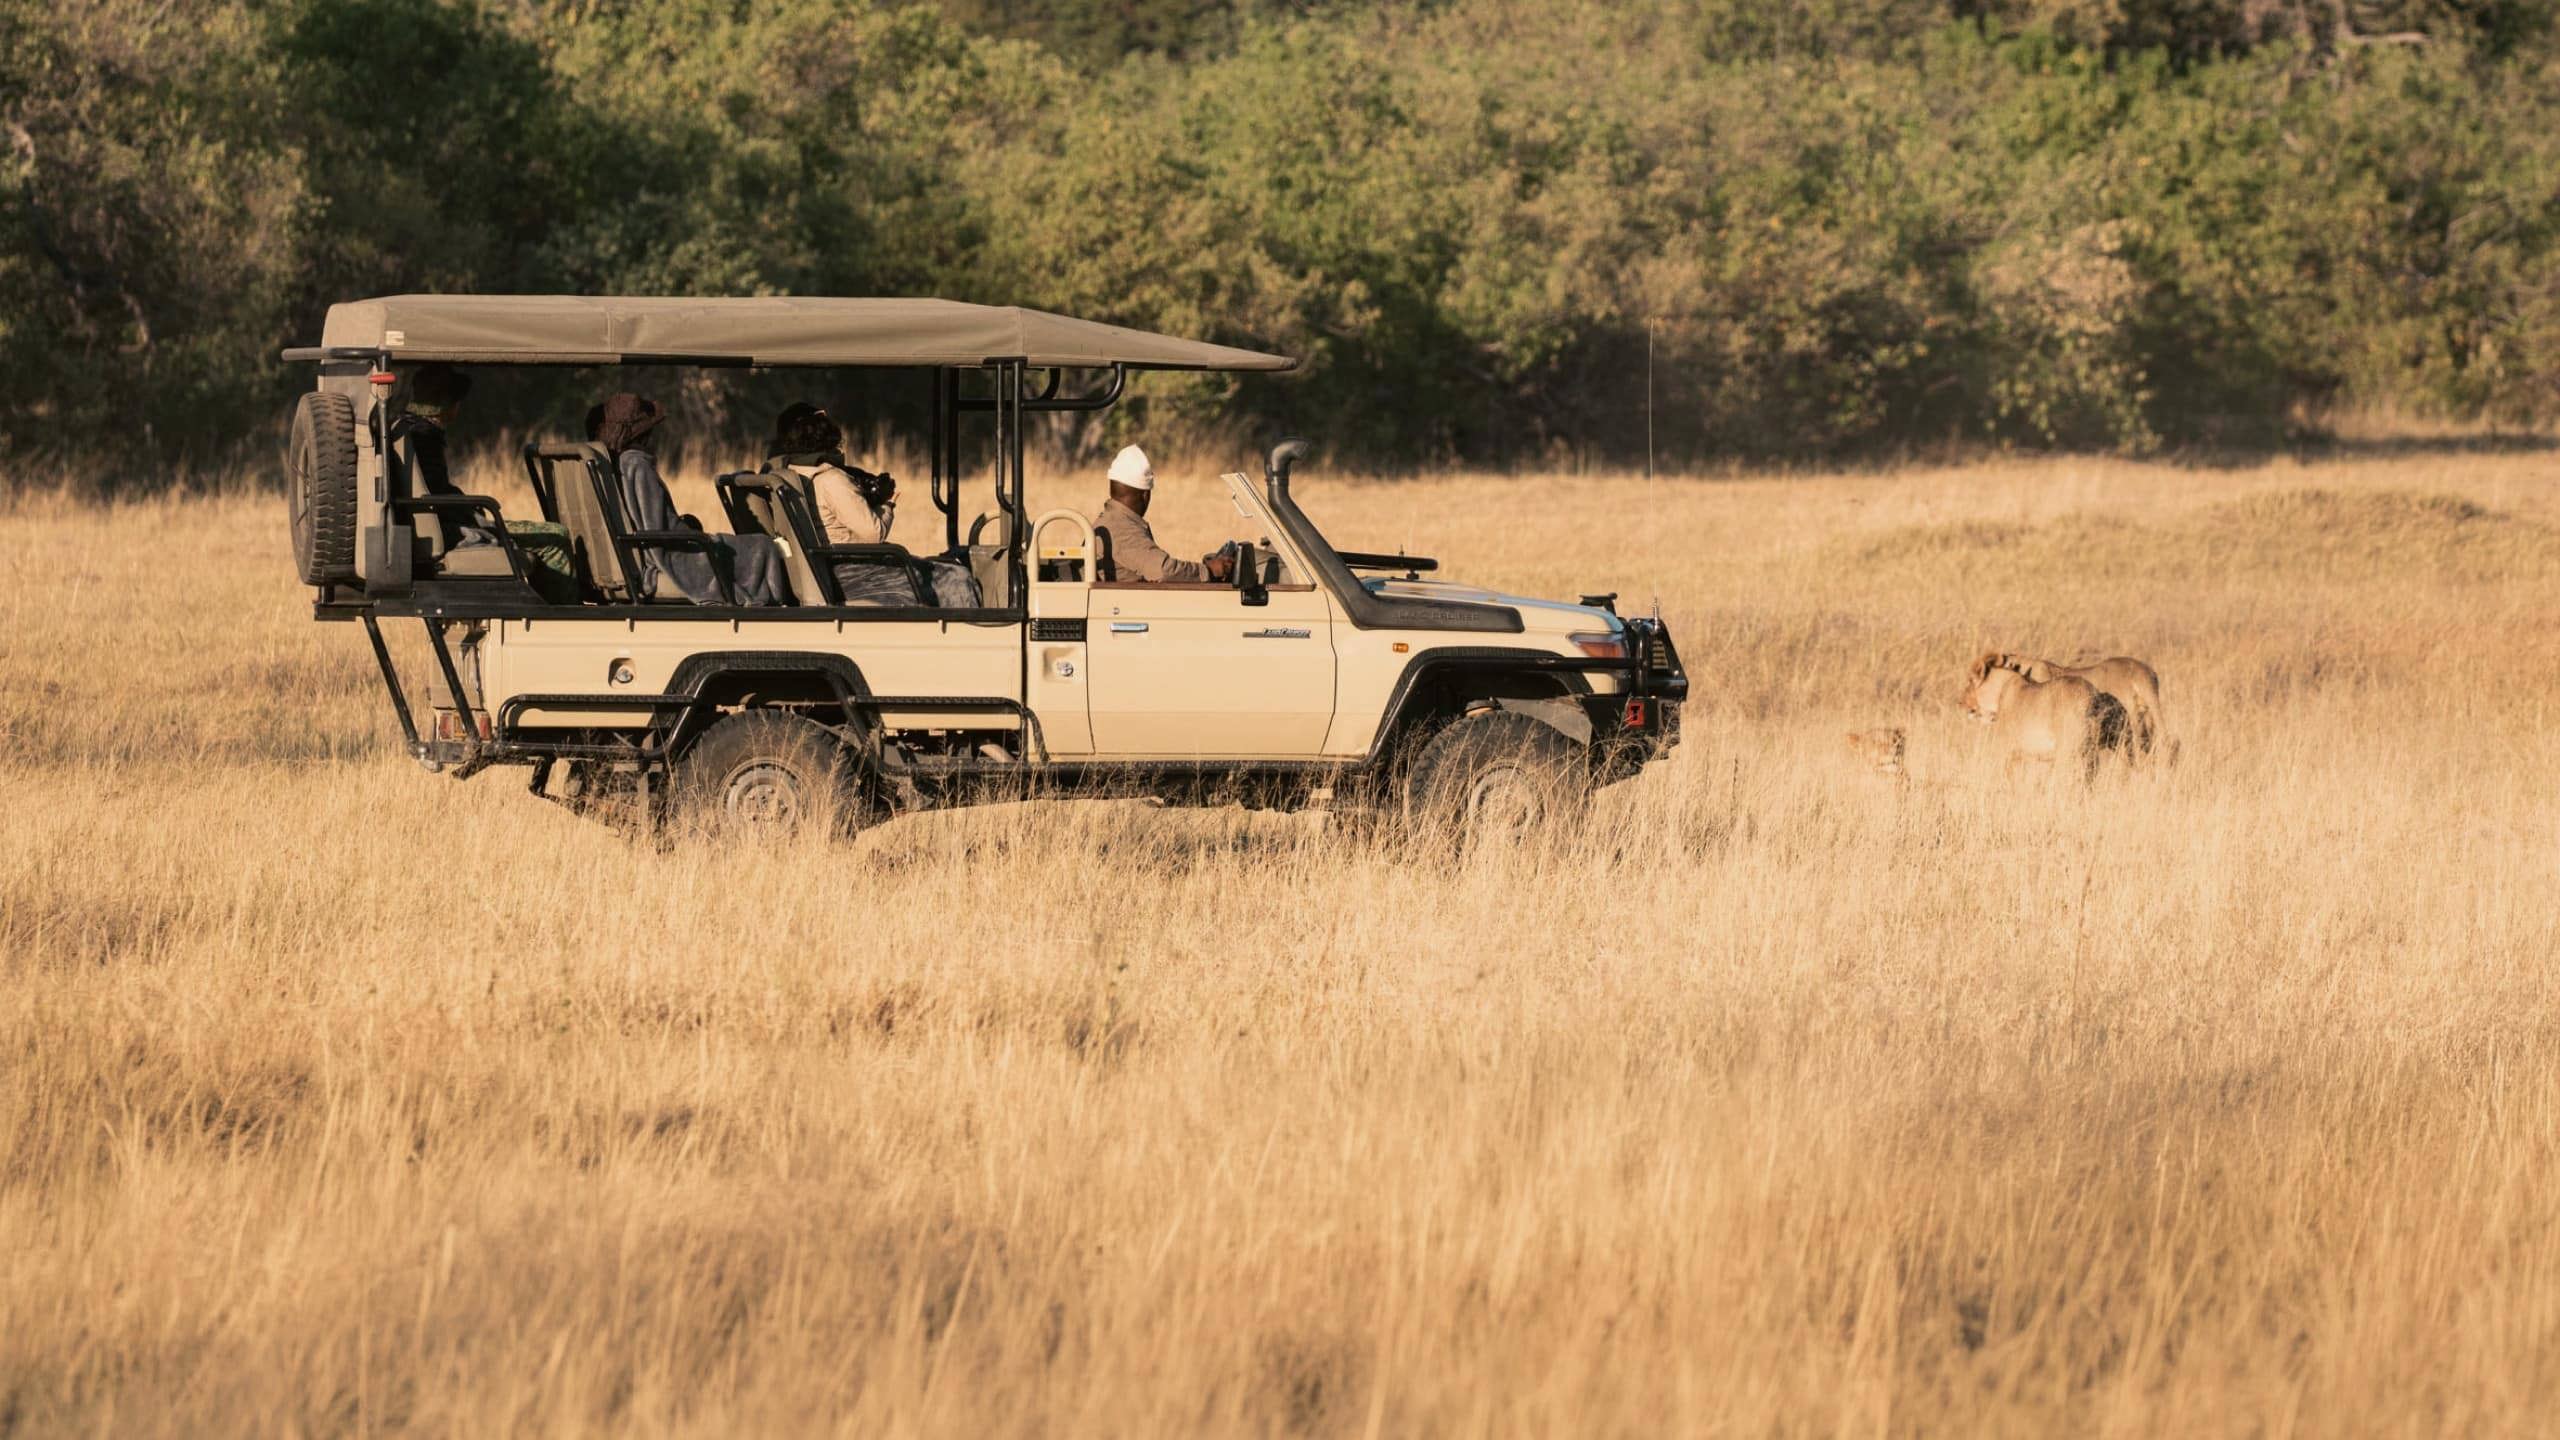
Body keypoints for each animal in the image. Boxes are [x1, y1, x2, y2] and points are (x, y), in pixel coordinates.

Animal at [1962, 652, 2130, 779]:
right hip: (2099, 749)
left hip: (2069, 751)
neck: (2002, 688)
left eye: (1970, 681)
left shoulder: (2009, 749)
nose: (1960, 701)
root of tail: (2093, 697)